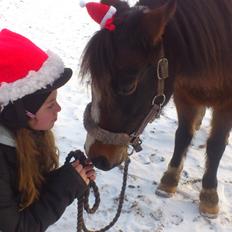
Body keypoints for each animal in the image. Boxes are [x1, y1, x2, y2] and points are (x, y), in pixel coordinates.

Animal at [80, 0, 232, 218]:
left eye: (128, 86)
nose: (96, 157)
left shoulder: (226, 105)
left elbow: (216, 145)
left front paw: (209, 193)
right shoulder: (184, 94)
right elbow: (183, 134)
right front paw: (170, 179)